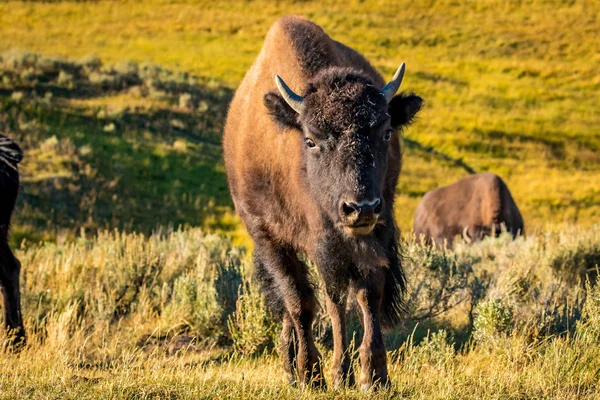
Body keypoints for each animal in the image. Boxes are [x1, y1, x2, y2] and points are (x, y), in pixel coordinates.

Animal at [223, 16, 424, 390]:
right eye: (311, 140)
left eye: (386, 132)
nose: (361, 207)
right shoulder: (277, 240)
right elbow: (303, 303)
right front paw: (313, 374)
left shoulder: (370, 238)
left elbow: (364, 296)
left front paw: (372, 376)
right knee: (292, 302)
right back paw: (294, 369)